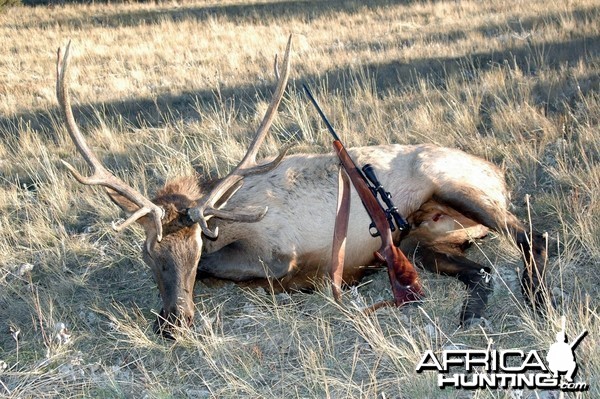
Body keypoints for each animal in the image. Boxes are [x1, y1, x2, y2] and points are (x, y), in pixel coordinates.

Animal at [57, 38, 548, 338]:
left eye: (195, 250)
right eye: (147, 254)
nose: (175, 323)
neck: (231, 216)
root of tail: (500, 174)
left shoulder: (280, 251)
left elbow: (239, 271)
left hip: (456, 189)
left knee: (534, 236)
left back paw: (536, 300)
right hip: (423, 240)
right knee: (479, 269)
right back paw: (471, 313)